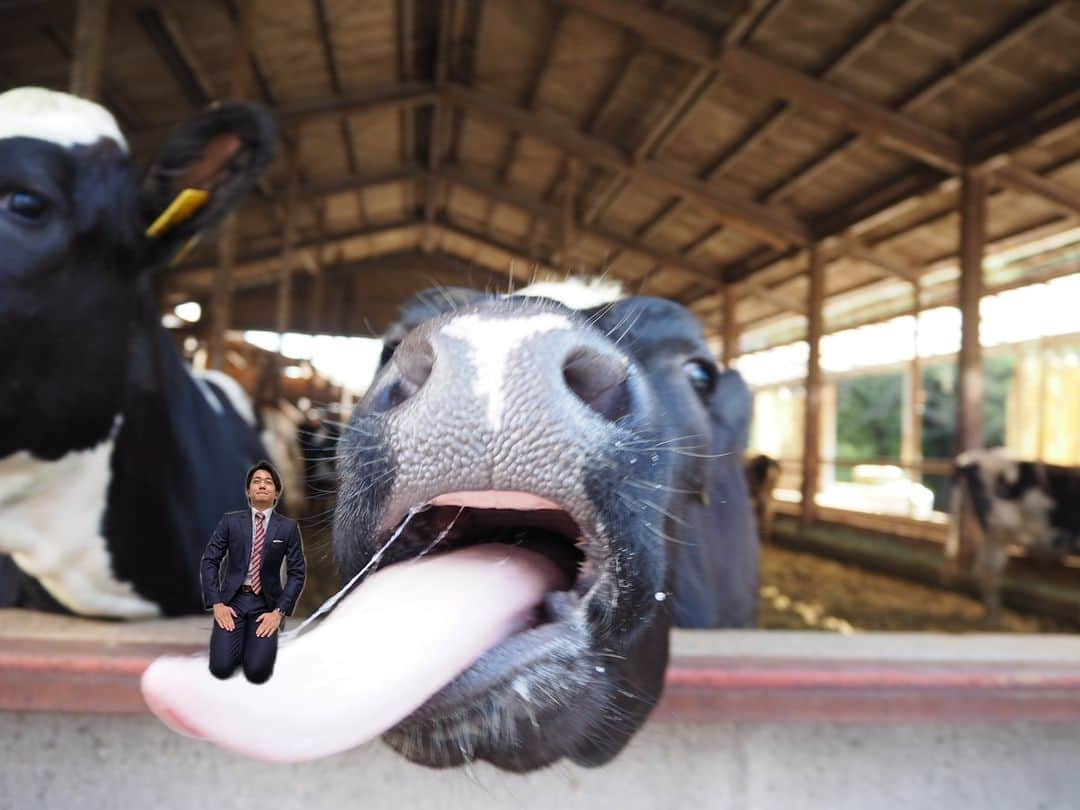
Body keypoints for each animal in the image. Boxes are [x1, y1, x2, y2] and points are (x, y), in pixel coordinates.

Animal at [946, 447, 1080, 626]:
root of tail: (976, 456)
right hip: (998, 532)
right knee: (989, 571)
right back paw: (994, 618)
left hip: (990, 536)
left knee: (980, 569)